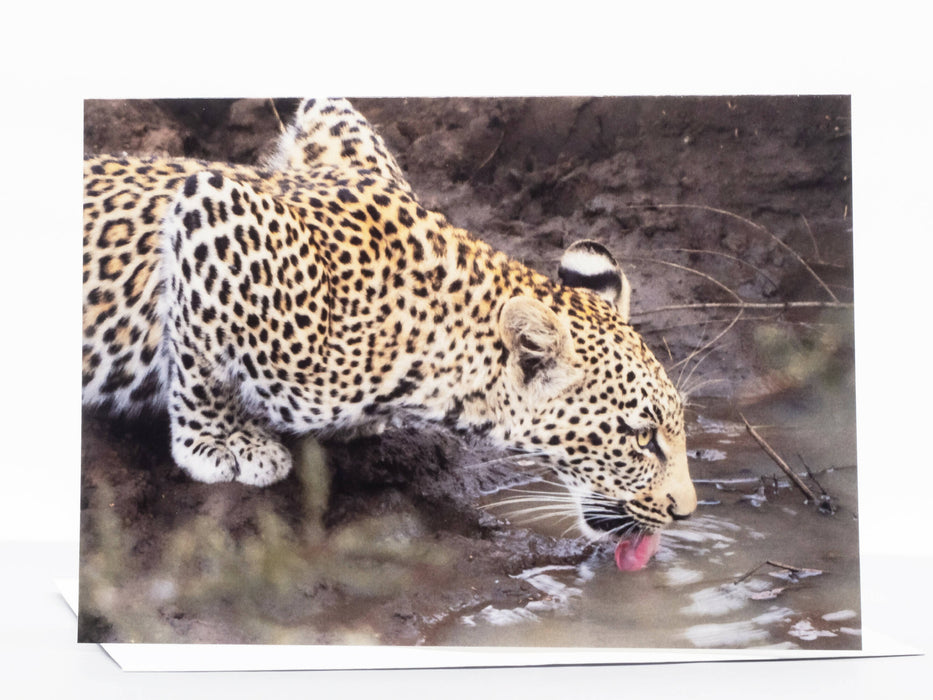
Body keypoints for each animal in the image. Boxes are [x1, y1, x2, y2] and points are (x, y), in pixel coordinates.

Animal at [82, 97, 696, 569]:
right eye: (642, 437)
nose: (688, 511)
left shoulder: (330, 124)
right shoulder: (213, 206)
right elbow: (199, 353)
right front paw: (221, 442)